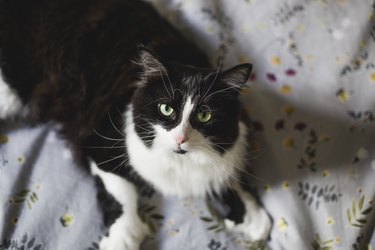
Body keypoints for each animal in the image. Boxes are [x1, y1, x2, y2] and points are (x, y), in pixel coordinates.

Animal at [0, 0, 270, 249]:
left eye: (204, 116)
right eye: (166, 109)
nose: (181, 138)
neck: (180, 166)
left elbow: (234, 180)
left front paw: (252, 217)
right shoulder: (100, 143)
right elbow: (121, 192)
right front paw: (123, 237)